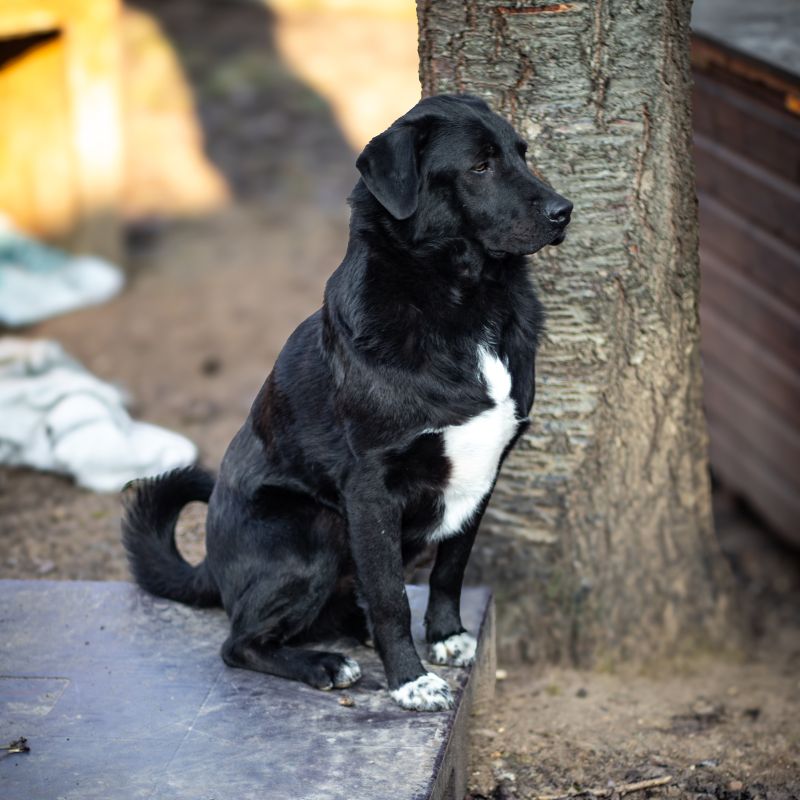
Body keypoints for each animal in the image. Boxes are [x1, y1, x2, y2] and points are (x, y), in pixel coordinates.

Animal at [122, 94, 571, 712]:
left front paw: (447, 636)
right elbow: (389, 597)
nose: (564, 211)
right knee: (239, 642)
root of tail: (211, 568)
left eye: (521, 154)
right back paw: (324, 664)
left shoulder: (483, 473)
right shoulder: (370, 489)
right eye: (479, 167)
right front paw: (409, 680)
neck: (464, 302)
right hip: (312, 529)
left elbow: (450, 567)